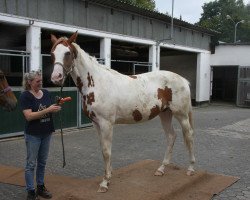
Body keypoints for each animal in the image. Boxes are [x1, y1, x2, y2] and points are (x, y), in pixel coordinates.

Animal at [50, 32, 195, 193]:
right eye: (52, 53)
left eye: (67, 53)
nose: (56, 78)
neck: (96, 82)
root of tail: (183, 80)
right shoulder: (96, 123)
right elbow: (103, 148)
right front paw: (109, 175)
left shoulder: (106, 123)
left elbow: (106, 151)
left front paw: (105, 182)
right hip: (165, 114)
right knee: (171, 136)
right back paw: (161, 169)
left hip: (181, 115)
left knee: (189, 136)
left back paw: (190, 169)